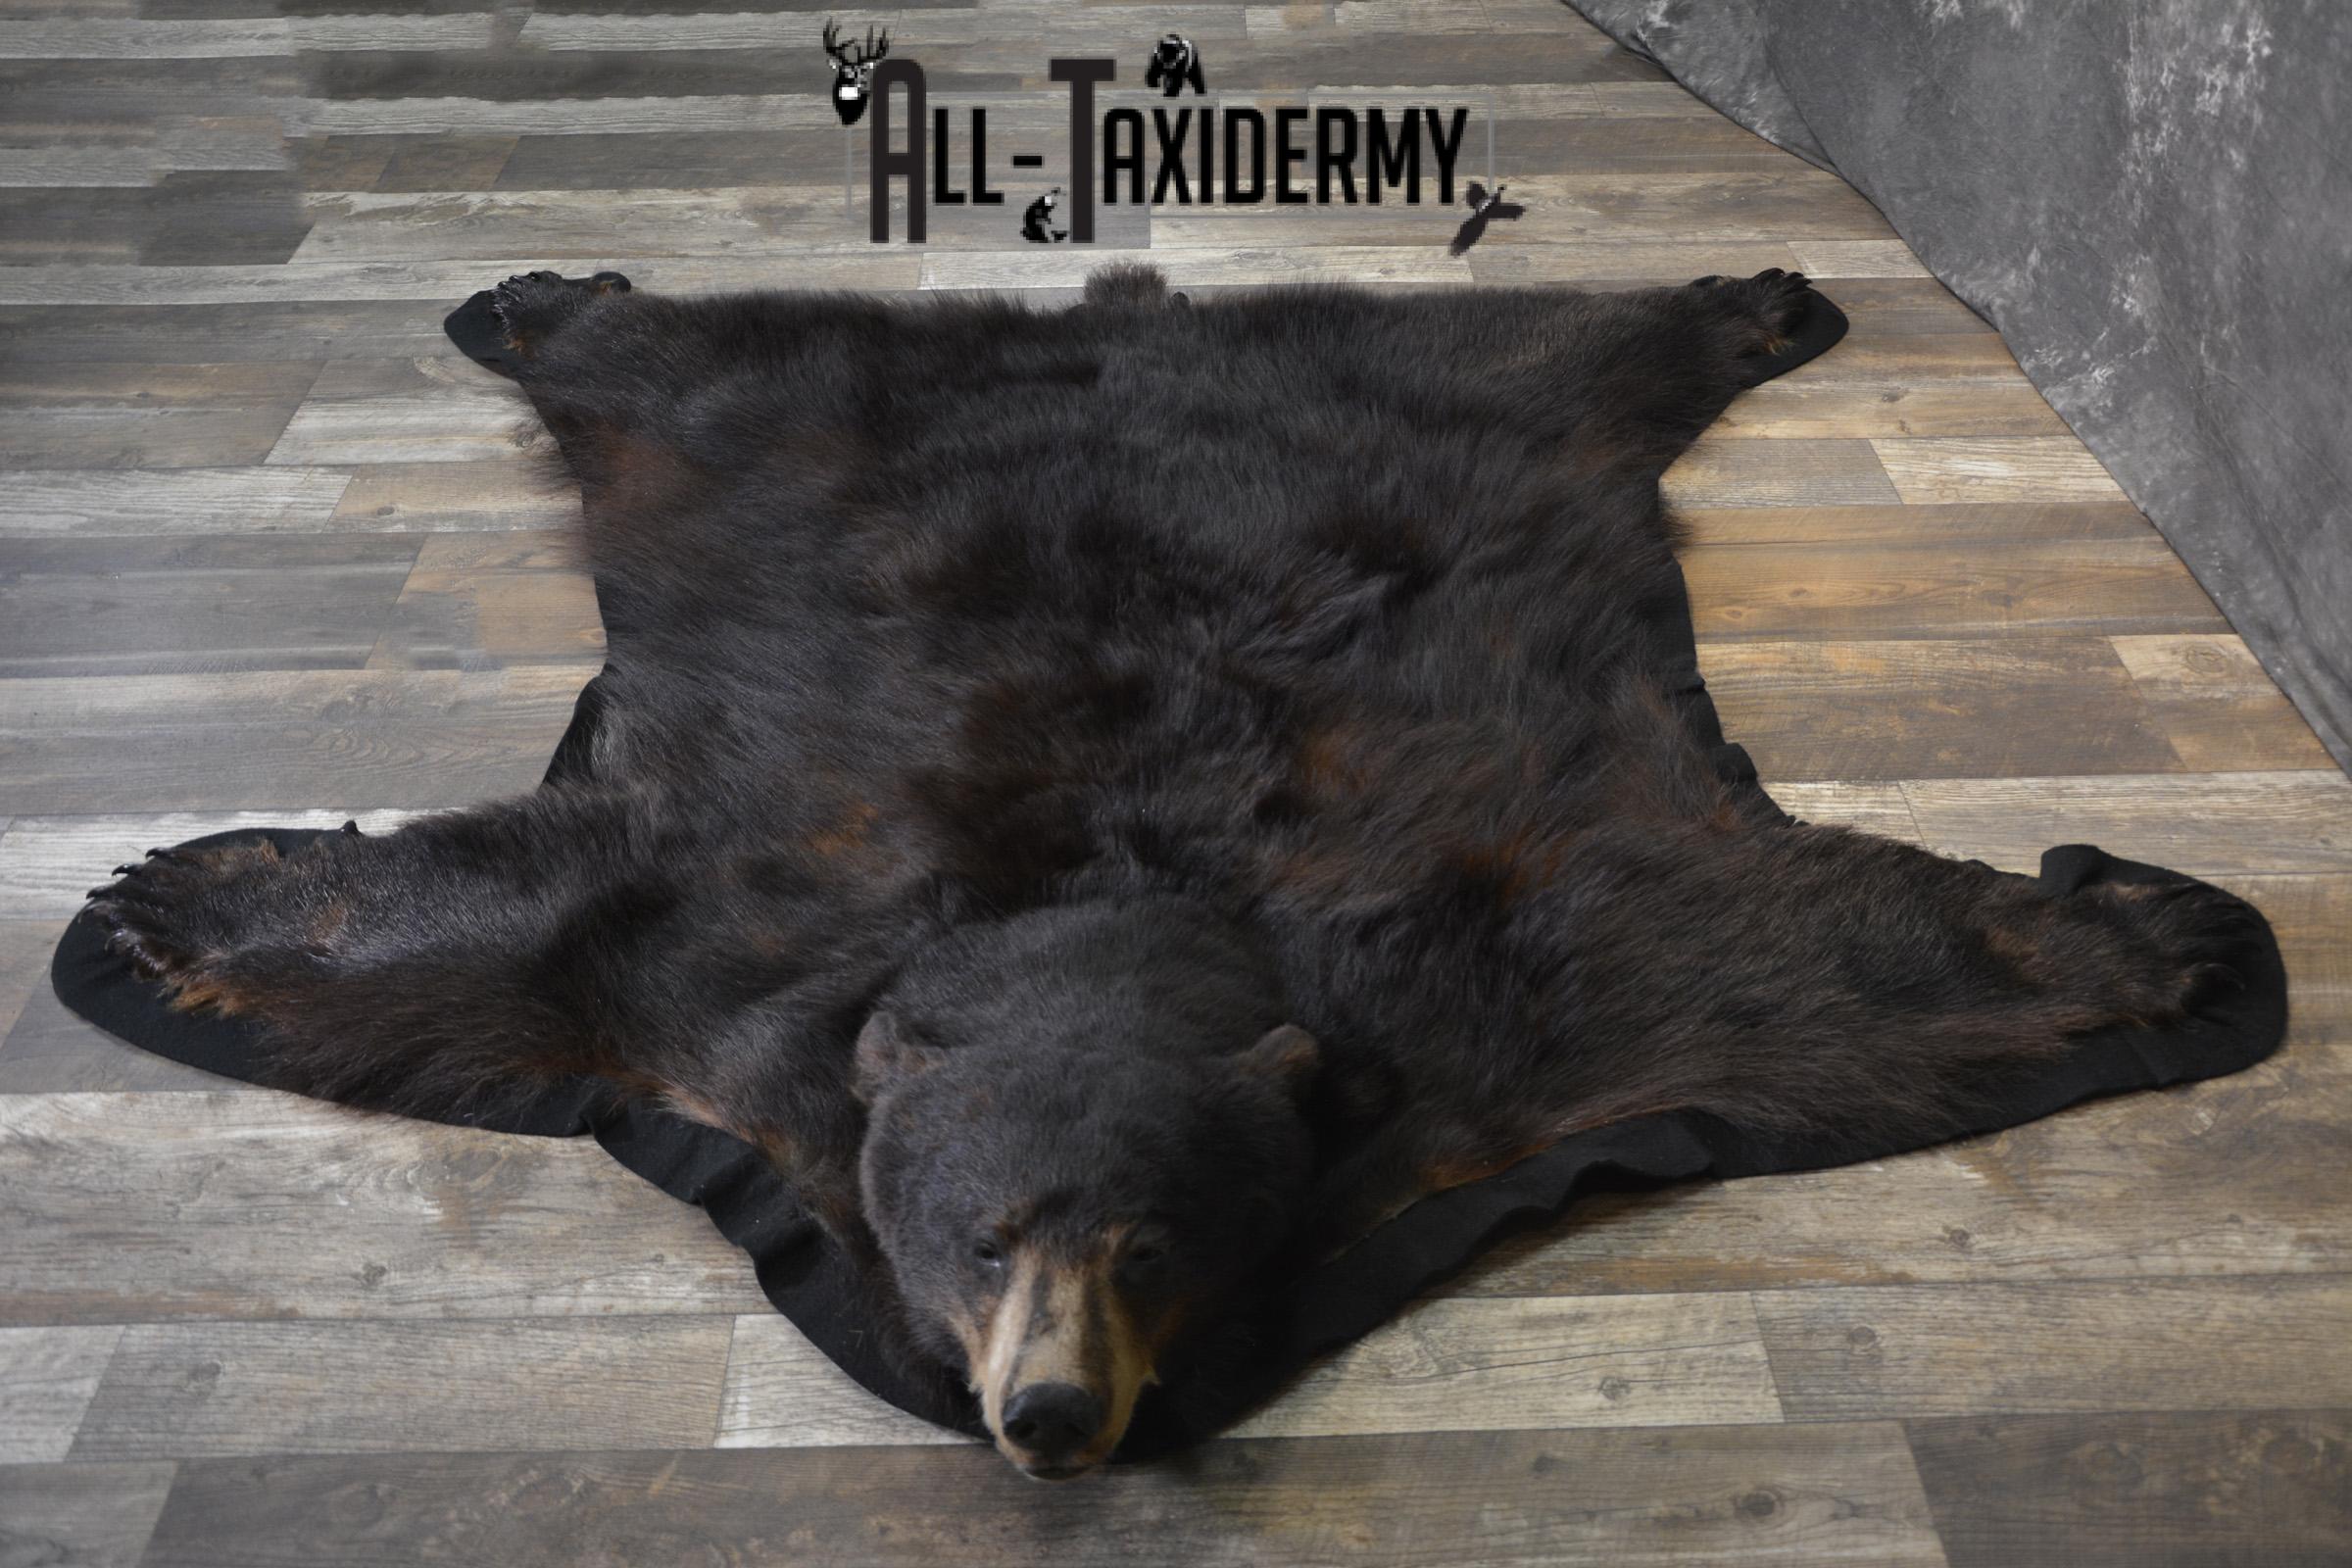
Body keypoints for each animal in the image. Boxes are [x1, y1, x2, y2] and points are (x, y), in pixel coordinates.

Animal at [89, 263, 2258, 1478]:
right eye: (979, 1243)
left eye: (1151, 1243)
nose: (1050, 1415)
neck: (1106, 904)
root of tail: (1140, 318)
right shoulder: (724, 940)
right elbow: (507, 930)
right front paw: (157, 909)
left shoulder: (1512, 964)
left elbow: (1801, 964)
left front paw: (2158, 928)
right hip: (758, 425)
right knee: (678, 358)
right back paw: (541, 297)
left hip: (1498, 412)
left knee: (1587, 340)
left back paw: (1759, 301)